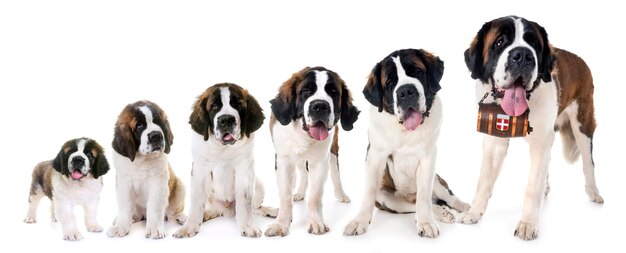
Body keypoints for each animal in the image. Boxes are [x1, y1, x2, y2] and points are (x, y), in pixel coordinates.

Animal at [106, 100, 185, 239]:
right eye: (139, 126)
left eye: (158, 122)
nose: (156, 135)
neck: (140, 160)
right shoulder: (123, 182)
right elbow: (125, 206)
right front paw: (120, 226)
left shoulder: (158, 182)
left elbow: (155, 206)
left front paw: (154, 229)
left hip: (180, 186)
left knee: (172, 212)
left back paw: (180, 217)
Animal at [173, 83, 276, 239]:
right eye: (214, 106)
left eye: (238, 104)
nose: (226, 119)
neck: (223, 149)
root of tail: (226, 211)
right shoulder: (200, 171)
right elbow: (196, 204)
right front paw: (189, 227)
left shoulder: (244, 170)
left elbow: (244, 203)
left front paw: (248, 226)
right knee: (210, 209)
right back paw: (197, 216)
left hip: (259, 184)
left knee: (254, 207)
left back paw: (270, 210)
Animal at [264, 66, 360, 236]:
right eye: (306, 91)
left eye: (333, 92)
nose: (320, 106)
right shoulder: (283, 160)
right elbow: (285, 194)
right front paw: (281, 224)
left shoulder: (320, 161)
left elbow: (315, 194)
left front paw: (315, 222)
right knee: (302, 172)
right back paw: (300, 193)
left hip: (333, 150)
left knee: (335, 171)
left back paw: (341, 194)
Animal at [342, 48, 468, 238]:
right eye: (390, 83)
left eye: (416, 71)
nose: (406, 91)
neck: (405, 132)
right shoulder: (375, 157)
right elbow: (369, 192)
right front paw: (359, 221)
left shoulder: (428, 160)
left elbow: (423, 196)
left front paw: (425, 222)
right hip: (387, 199)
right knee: (413, 204)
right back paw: (442, 212)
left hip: (437, 182)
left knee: (444, 197)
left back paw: (464, 207)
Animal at [460, 15, 604, 239]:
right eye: (500, 42)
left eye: (534, 44)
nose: (523, 55)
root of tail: (581, 60)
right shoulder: (494, 139)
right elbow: (484, 180)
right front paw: (474, 212)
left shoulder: (541, 142)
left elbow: (532, 186)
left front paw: (527, 224)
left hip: (582, 122)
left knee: (588, 162)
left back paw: (593, 192)